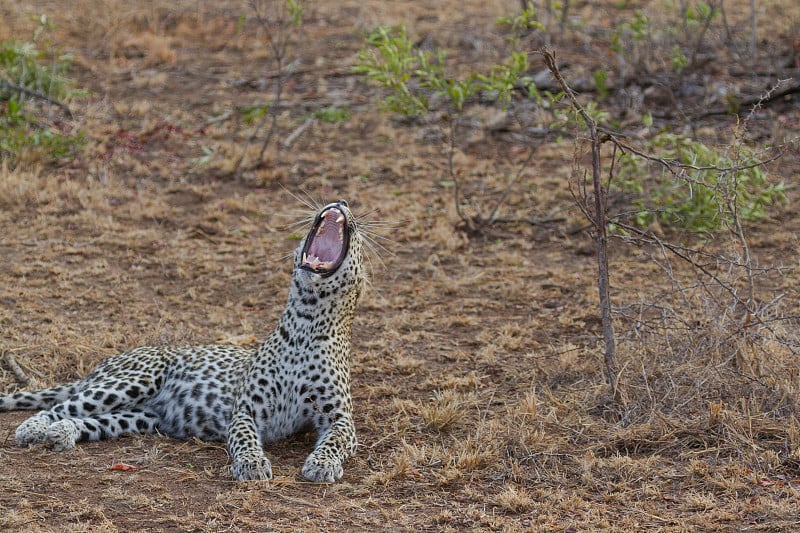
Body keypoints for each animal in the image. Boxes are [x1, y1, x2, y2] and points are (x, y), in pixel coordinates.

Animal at [0, 200, 366, 482]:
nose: (341, 201)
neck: (307, 320)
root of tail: (105, 364)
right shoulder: (245, 410)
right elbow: (245, 439)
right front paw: (251, 464)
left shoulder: (340, 419)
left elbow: (334, 440)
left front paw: (322, 464)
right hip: (132, 381)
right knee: (57, 406)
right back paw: (32, 429)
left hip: (139, 417)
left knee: (85, 418)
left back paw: (63, 433)